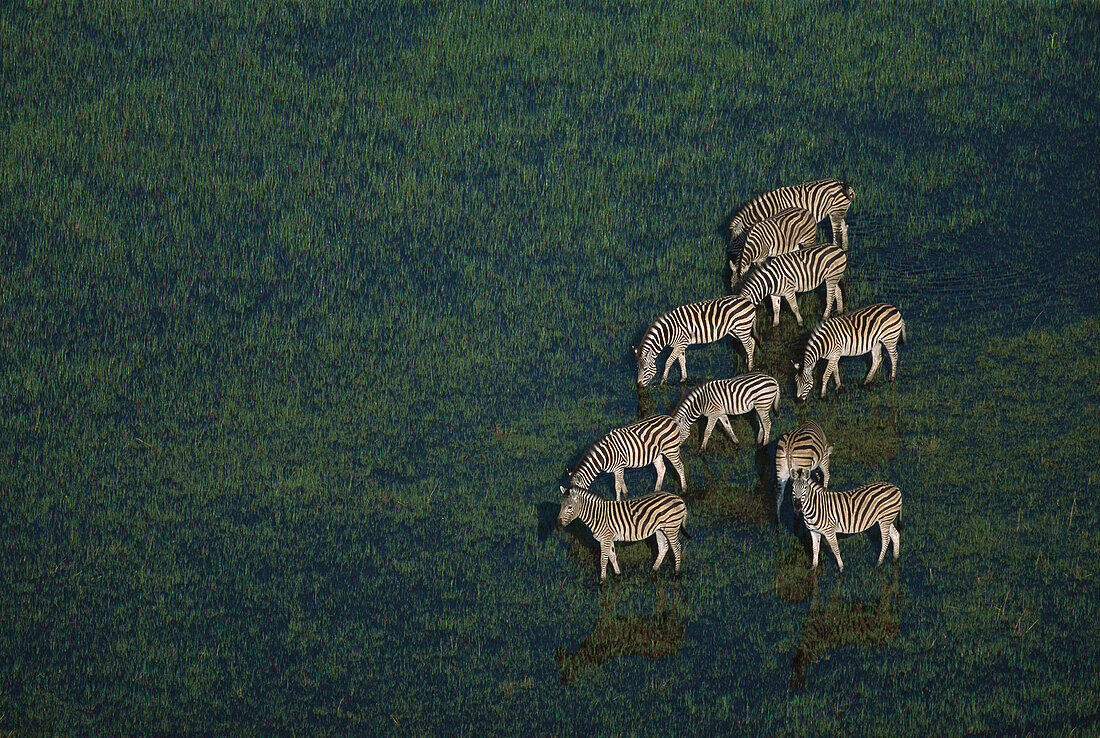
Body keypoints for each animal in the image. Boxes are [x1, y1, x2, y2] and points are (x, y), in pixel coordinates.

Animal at [558, 488, 686, 585]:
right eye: (561, 505)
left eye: (569, 507)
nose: (559, 524)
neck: (597, 515)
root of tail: (679, 498)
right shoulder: (608, 538)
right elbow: (612, 556)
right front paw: (617, 574)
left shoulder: (605, 538)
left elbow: (603, 559)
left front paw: (602, 581)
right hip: (660, 529)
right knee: (663, 547)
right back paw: (653, 570)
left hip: (671, 528)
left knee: (677, 547)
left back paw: (677, 573)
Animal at [730, 177, 858, 252]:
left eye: (736, 243)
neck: (771, 208)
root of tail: (844, 184)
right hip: (839, 211)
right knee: (844, 227)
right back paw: (845, 249)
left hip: (835, 211)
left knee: (837, 232)